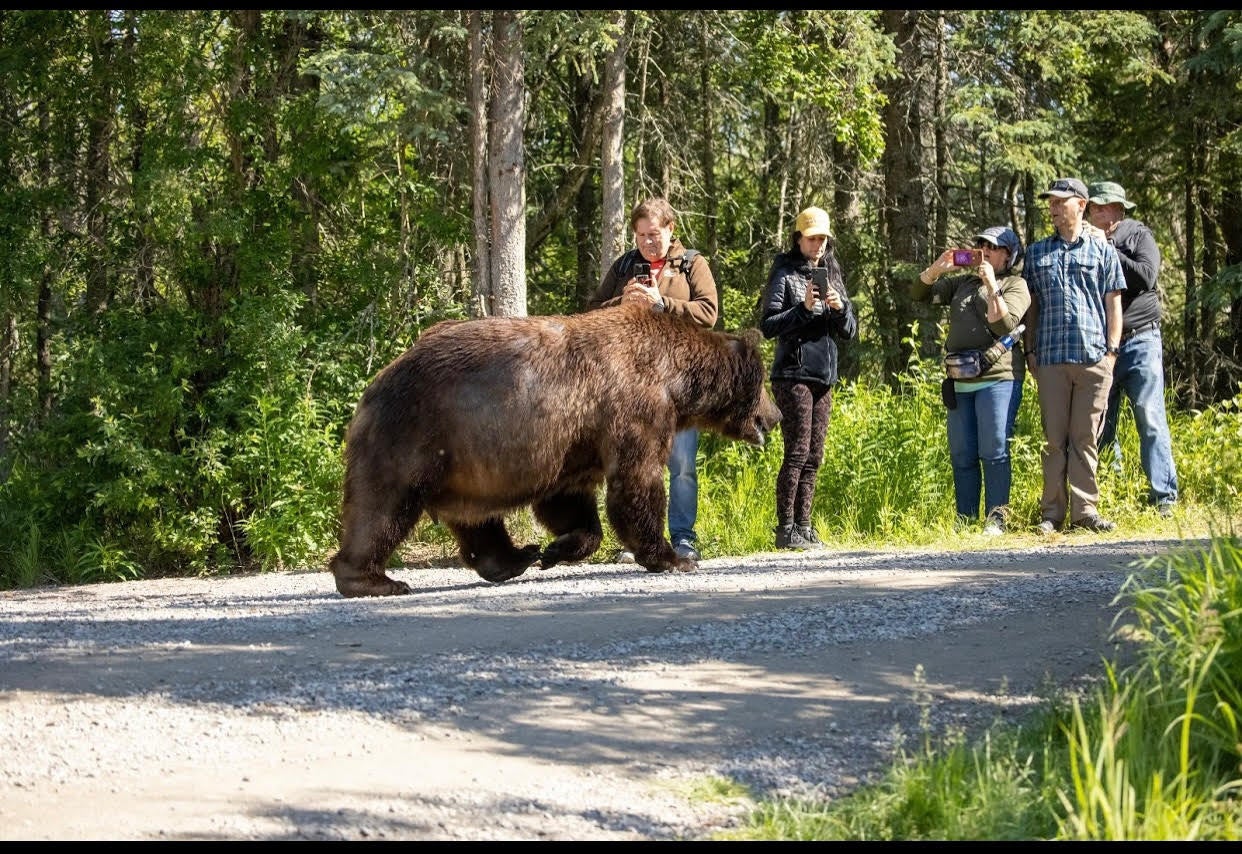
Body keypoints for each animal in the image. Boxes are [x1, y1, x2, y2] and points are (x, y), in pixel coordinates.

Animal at [328, 302, 782, 598]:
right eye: (763, 385)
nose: (775, 416)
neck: (677, 379)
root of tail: (374, 385)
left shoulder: (574, 442)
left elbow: (568, 501)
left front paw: (557, 548)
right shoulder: (636, 407)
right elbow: (637, 482)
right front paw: (674, 558)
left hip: (467, 459)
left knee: (476, 517)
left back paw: (516, 557)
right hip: (415, 433)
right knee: (383, 506)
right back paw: (376, 580)